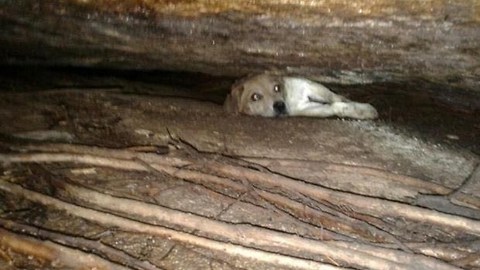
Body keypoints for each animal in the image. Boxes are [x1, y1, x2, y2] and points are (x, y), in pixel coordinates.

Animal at [225, 74, 378, 119]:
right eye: (255, 97)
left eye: (276, 88)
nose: (280, 105)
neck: (289, 98)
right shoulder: (307, 109)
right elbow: (335, 106)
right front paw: (363, 111)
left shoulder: (309, 86)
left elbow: (335, 98)